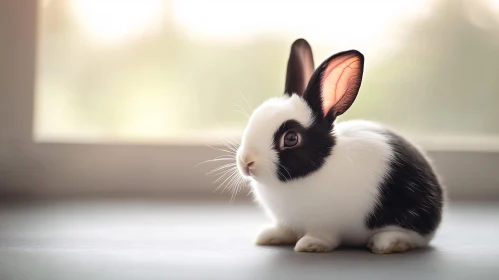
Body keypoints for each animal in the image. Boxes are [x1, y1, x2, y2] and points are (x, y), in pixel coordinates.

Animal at [235, 38, 446, 255]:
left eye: (291, 138)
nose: (246, 161)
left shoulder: (325, 225)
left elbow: (322, 237)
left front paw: (309, 245)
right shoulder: (287, 222)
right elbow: (285, 230)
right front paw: (269, 236)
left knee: (413, 238)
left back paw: (386, 243)